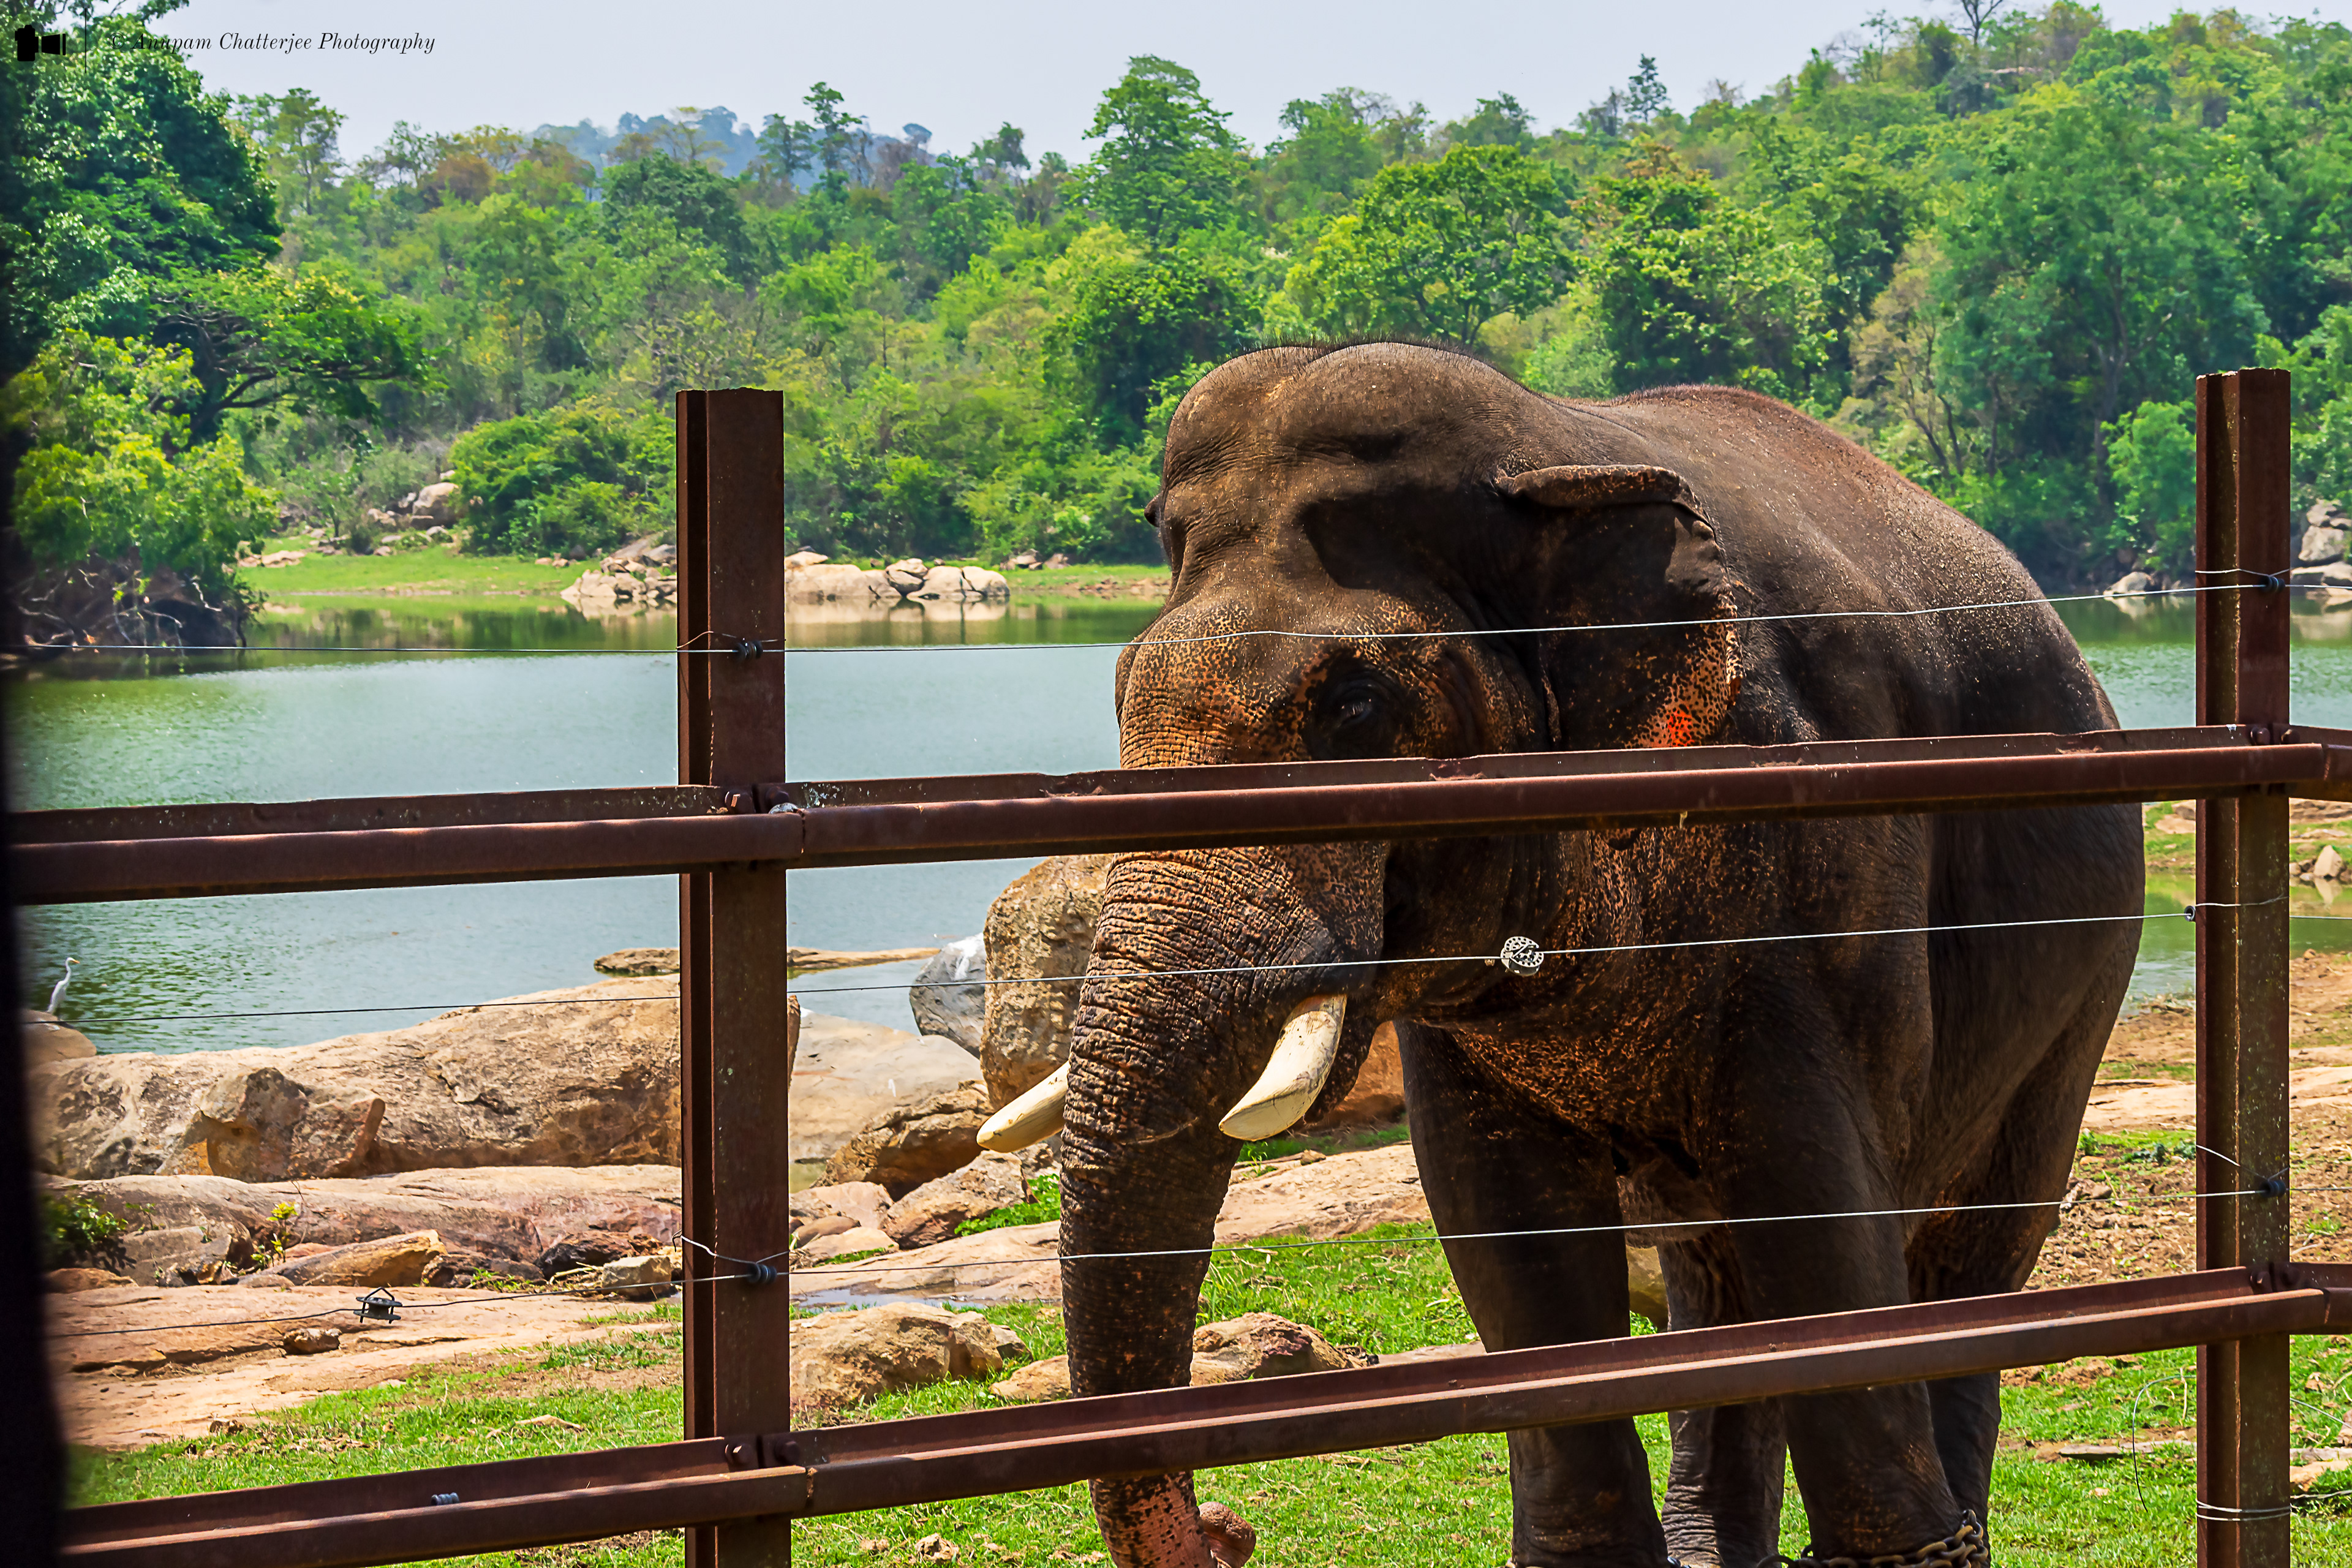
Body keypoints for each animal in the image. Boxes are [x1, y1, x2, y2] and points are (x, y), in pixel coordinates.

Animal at [979, 341, 2141, 1568]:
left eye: (1354, 704)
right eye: (1120, 697)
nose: (1230, 1529)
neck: (1554, 452)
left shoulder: (1822, 869)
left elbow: (1818, 1219)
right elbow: (1510, 1234)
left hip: (2087, 973)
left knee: (1973, 1246)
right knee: (1709, 1258)